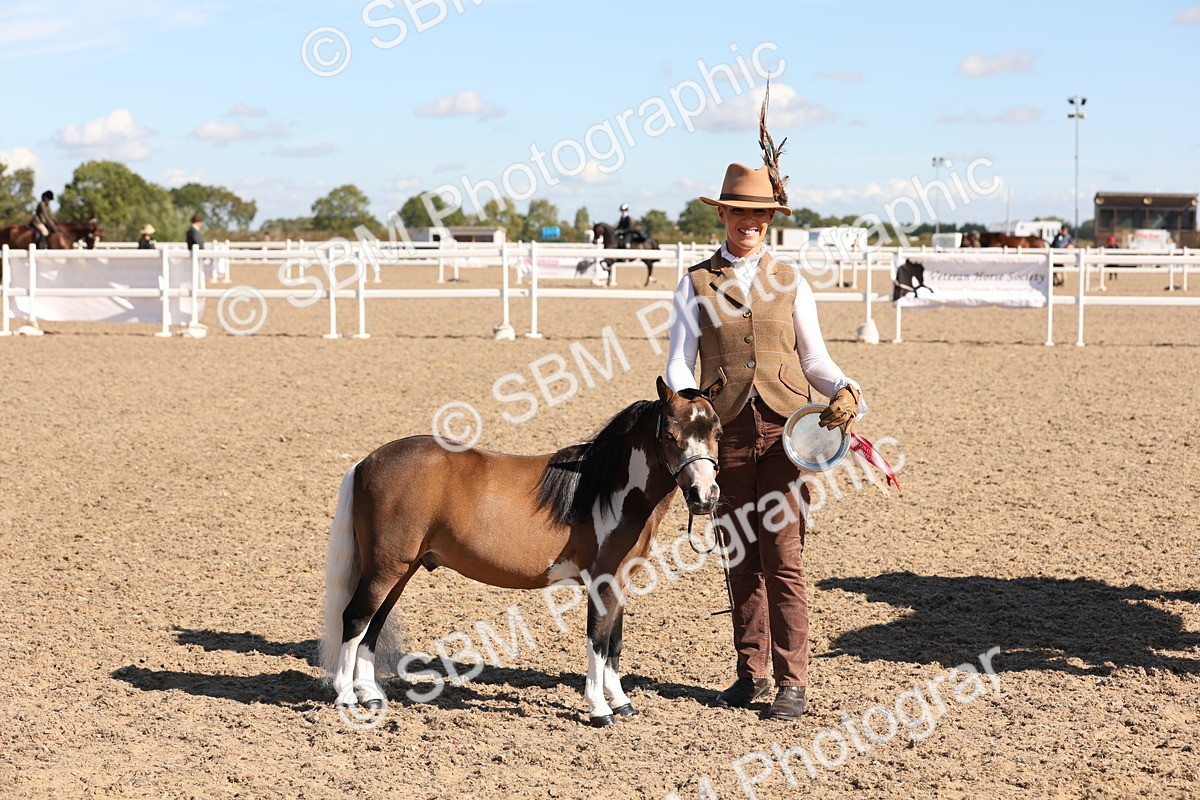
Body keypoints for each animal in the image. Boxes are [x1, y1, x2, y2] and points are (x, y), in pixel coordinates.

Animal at [322, 377, 722, 727]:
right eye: (670, 435)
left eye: (716, 432)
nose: (704, 496)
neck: (607, 490)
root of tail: (366, 462)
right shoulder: (602, 582)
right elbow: (596, 641)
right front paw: (599, 709)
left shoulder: (621, 583)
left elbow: (614, 642)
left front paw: (622, 703)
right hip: (385, 569)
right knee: (355, 619)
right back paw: (347, 697)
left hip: (399, 570)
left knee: (373, 625)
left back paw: (371, 695)